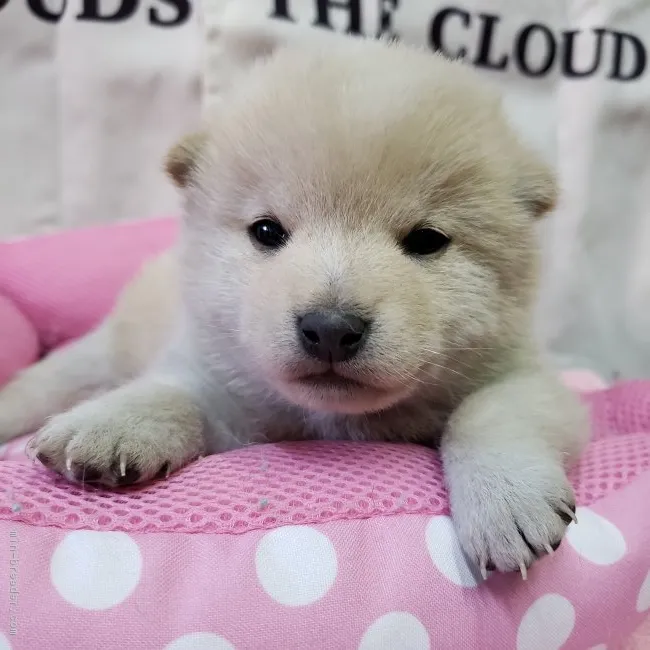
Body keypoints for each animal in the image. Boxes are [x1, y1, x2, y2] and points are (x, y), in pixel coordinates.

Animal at [0, 27, 584, 576]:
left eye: (426, 240)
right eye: (266, 231)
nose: (330, 328)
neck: (331, 418)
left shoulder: (524, 375)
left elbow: (490, 411)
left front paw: (506, 502)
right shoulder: (221, 382)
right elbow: (175, 393)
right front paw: (111, 427)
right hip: (102, 351)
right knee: (49, 381)